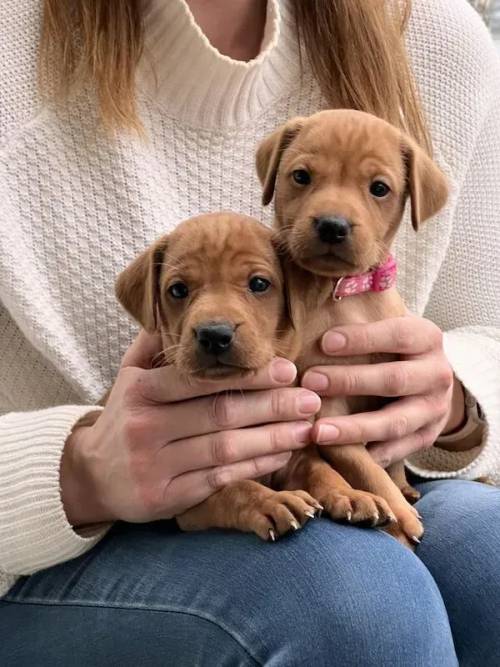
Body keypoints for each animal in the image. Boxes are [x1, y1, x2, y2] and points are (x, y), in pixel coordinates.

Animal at [113, 214, 394, 544]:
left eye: (259, 284)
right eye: (178, 290)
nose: (214, 335)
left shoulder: (297, 455)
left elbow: (323, 471)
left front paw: (349, 494)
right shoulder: (190, 493)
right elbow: (236, 487)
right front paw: (271, 501)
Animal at [256, 111, 448, 548]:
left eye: (379, 188)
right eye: (301, 176)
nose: (332, 225)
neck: (347, 296)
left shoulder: (392, 396)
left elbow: (390, 456)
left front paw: (401, 488)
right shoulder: (329, 417)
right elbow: (367, 467)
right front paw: (400, 515)